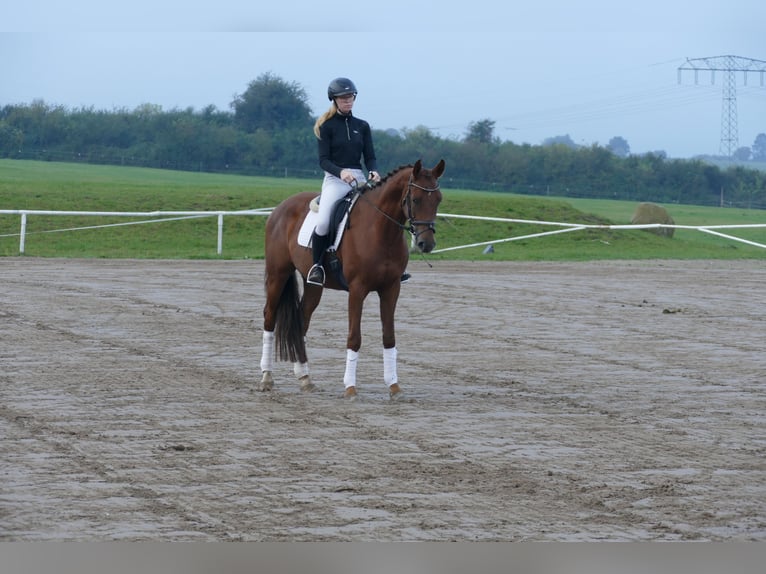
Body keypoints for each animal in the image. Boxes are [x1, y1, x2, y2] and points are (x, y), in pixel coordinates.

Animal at [260, 158, 448, 400]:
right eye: (415, 199)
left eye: (438, 199)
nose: (427, 244)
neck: (380, 229)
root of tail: (280, 208)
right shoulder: (357, 290)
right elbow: (354, 337)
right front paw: (350, 387)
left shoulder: (391, 288)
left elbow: (389, 336)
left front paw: (394, 386)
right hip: (278, 274)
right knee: (269, 317)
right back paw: (266, 377)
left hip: (313, 284)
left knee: (302, 320)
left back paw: (305, 378)